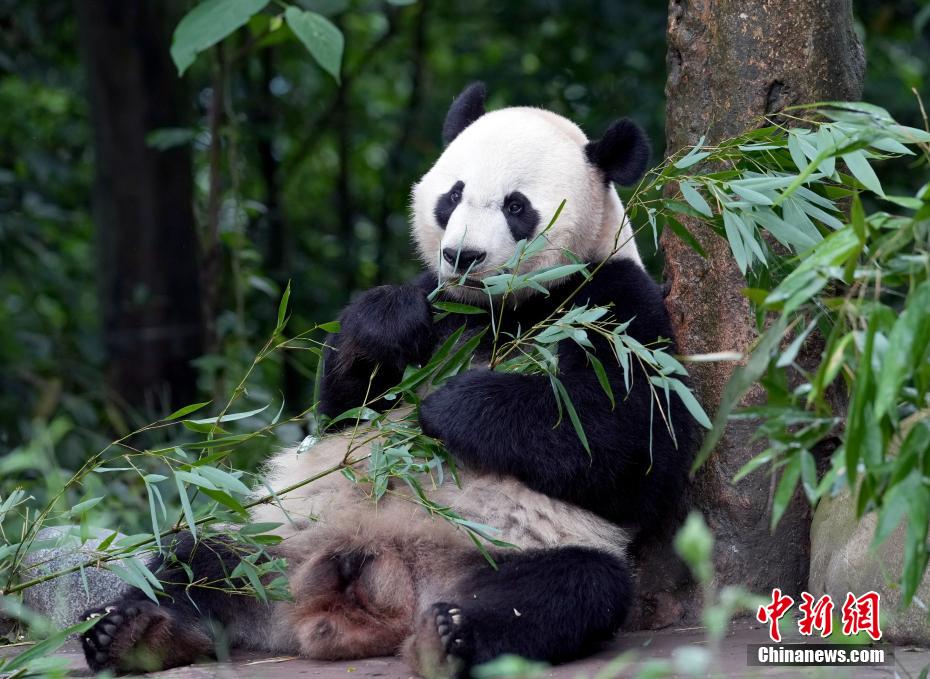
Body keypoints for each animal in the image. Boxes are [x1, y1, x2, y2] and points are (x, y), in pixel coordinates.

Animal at [80, 83, 692, 679]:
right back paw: (133, 632)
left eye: (516, 206)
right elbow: (342, 409)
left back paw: (448, 638)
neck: (501, 308)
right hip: (278, 538)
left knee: (565, 590)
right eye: (453, 195)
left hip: (512, 550)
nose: (462, 256)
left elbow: (630, 442)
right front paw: (389, 321)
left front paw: (453, 407)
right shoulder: (441, 306)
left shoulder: (613, 305)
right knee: (198, 558)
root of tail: (369, 593)